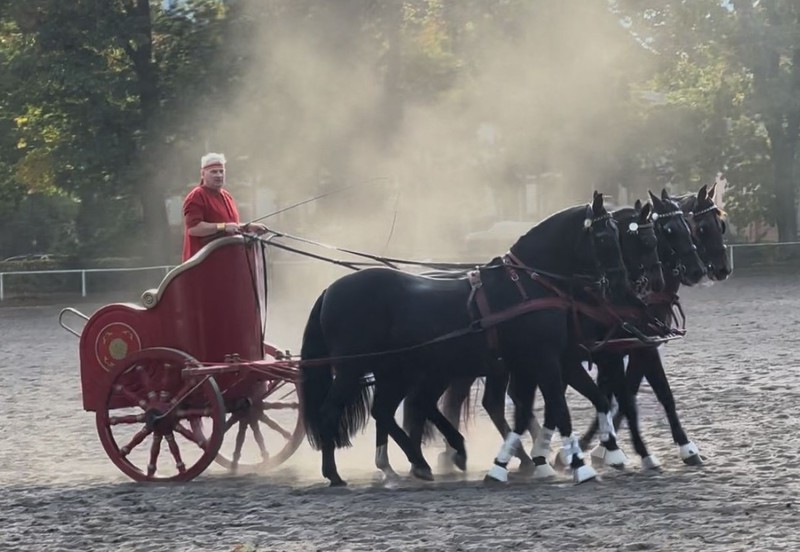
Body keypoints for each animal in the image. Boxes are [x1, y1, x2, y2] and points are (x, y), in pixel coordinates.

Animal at [298, 191, 629, 486]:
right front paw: (577, 466)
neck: (526, 285)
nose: (619, 283)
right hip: (353, 368)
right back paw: (336, 473)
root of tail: (331, 290)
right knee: (333, 412)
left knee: (387, 411)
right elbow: (558, 409)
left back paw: (417, 463)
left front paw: (606, 453)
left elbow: (592, 400)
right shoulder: (544, 360)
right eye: (603, 237)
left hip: (395, 370)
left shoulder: (559, 359)